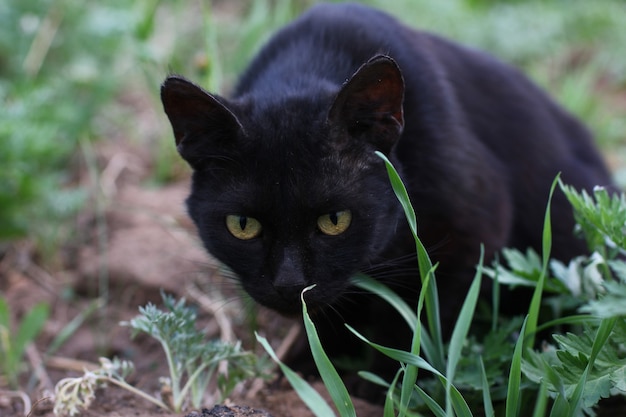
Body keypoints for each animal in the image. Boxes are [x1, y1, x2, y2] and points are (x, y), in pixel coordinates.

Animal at [160, 2, 608, 386]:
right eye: (242, 225)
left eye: (335, 220)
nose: (290, 284)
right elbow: (333, 314)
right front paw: (318, 366)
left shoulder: (469, 233)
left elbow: (417, 315)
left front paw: (387, 384)